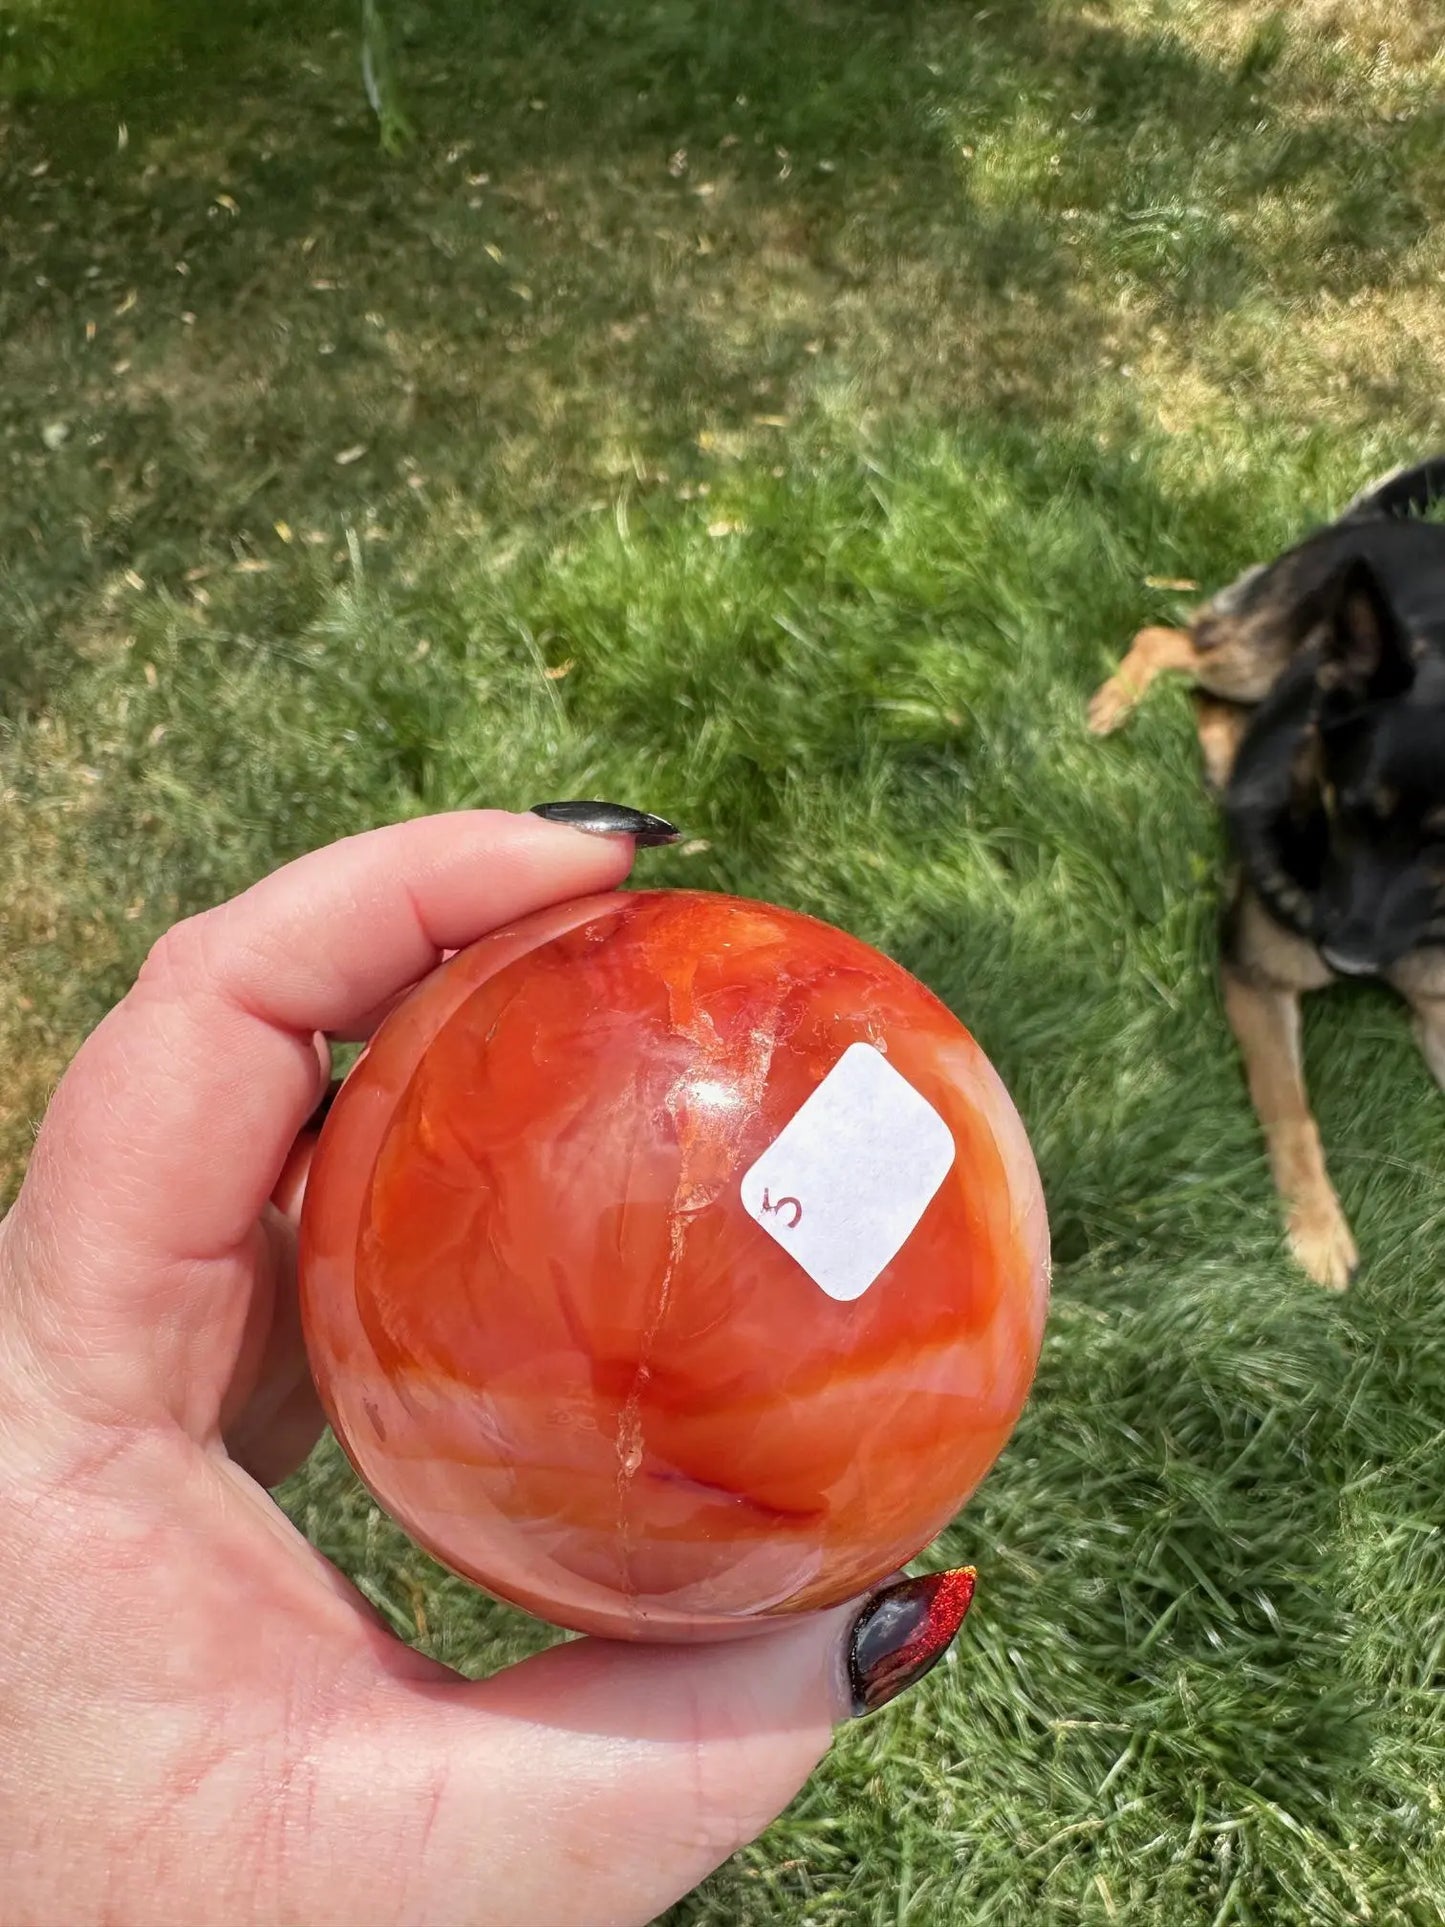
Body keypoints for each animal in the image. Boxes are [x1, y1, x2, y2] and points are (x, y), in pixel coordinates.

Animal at [1086, 458, 1445, 1287]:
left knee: (1209, 701)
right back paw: (1114, 701)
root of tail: (1381, 526)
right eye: (1349, 810)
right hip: (1256, 657)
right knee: (1168, 643)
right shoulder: (1255, 979)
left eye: (1444, 844)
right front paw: (1315, 1228)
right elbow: (1290, 1110)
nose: (1344, 957)